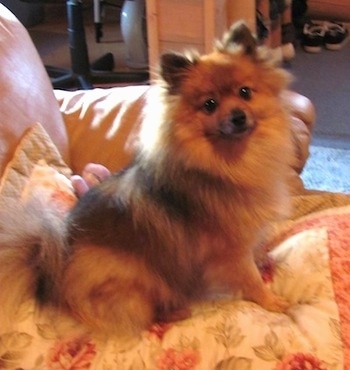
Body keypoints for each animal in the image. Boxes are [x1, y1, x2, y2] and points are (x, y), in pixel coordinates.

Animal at [0, 21, 294, 336]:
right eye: (210, 105)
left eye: (245, 92)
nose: (238, 116)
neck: (229, 164)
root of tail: (51, 271)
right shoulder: (230, 248)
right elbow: (249, 277)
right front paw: (272, 301)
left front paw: (264, 261)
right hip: (137, 273)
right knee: (143, 313)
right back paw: (175, 312)